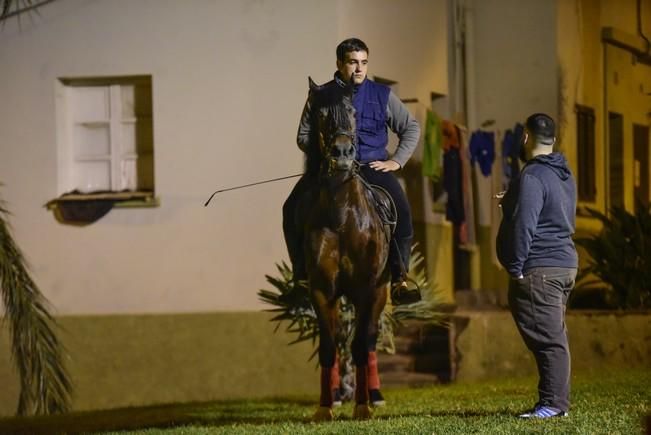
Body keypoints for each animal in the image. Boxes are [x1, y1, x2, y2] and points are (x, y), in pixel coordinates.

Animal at [306, 76, 392, 420]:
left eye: (353, 113)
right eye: (320, 115)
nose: (342, 153)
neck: (343, 216)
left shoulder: (366, 289)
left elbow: (358, 346)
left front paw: (362, 407)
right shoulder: (321, 290)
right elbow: (329, 347)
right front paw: (324, 408)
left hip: (380, 293)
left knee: (367, 342)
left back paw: (372, 396)